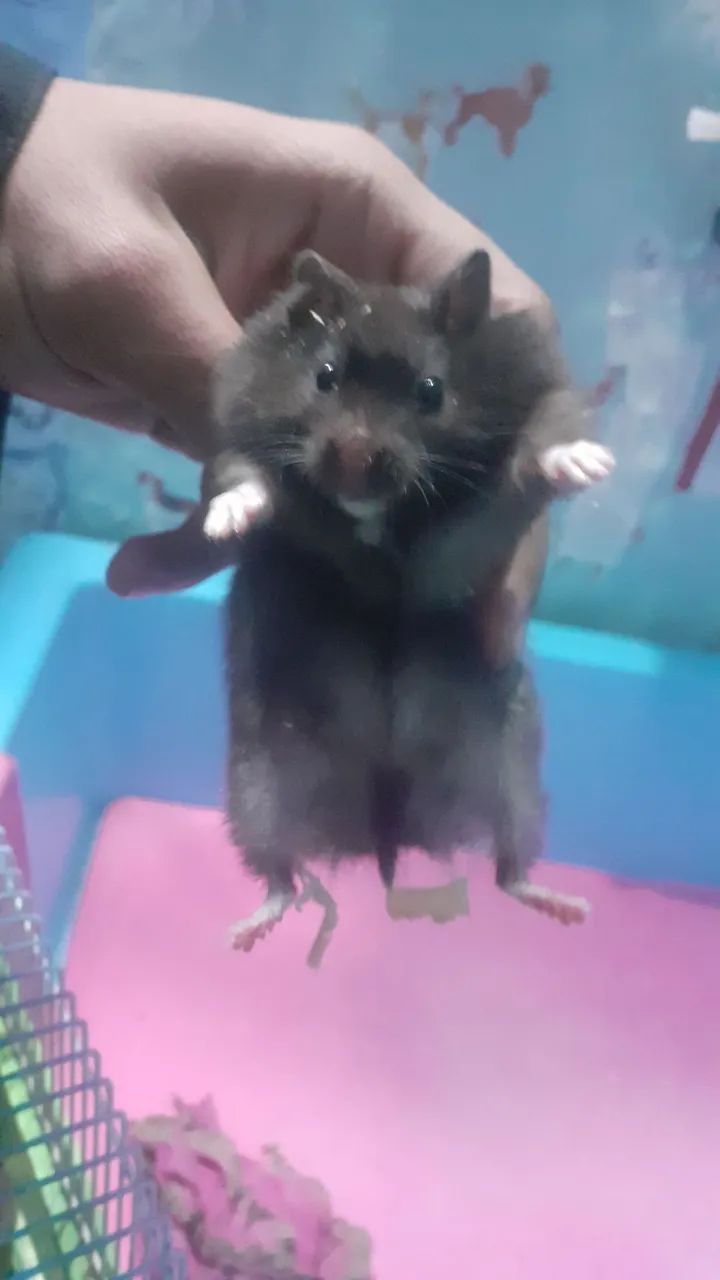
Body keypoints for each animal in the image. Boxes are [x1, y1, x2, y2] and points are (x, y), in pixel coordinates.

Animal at [204, 249, 614, 953]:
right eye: (324, 378)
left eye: (431, 392)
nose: (353, 461)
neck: (379, 517)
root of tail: (387, 827)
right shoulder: (242, 445)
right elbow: (245, 479)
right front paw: (222, 524)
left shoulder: (469, 536)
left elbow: (535, 451)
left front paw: (591, 465)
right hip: (256, 786)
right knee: (279, 873)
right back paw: (242, 934)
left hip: (512, 776)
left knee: (510, 868)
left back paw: (570, 907)